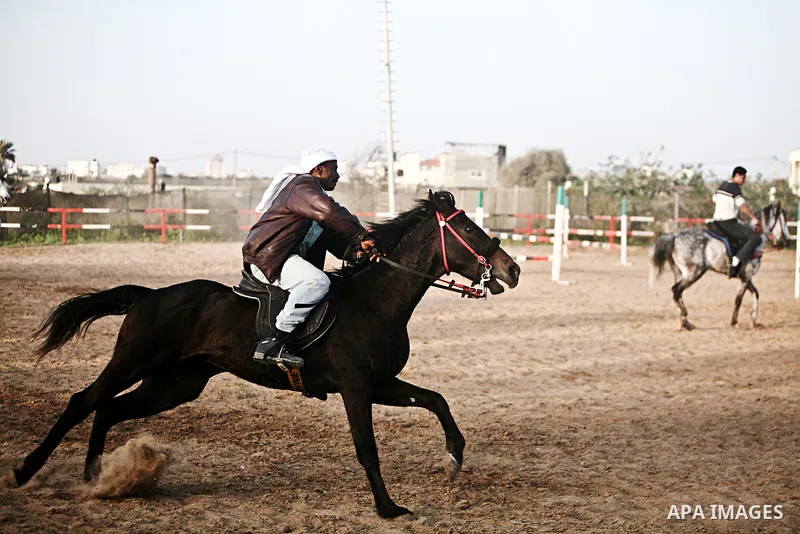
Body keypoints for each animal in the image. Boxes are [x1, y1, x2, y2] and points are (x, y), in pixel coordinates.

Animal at [4, 190, 521, 519]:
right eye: (468, 227)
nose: (511, 269)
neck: (376, 300)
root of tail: (151, 295)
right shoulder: (356, 389)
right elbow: (367, 448)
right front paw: (387, 508)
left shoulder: (381, 384)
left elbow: (436, 401)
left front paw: (453, 457)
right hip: (132, 363)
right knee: (83, 402)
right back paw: (26, 470)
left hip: (174, 385)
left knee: (109, 410)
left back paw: (97, 479)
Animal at [649, 203, 791, 330]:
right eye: (783, 220)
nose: (787, 241)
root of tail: (674, 236)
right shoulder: (746, 276)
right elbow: (738, 299)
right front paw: (734, 322)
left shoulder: (746, 277)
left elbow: (755, 293)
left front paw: (754, 319)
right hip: (694, 273)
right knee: (676, 290)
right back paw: (685, 319)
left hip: (682, 274)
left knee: (678, 294)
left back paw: (685, 322)